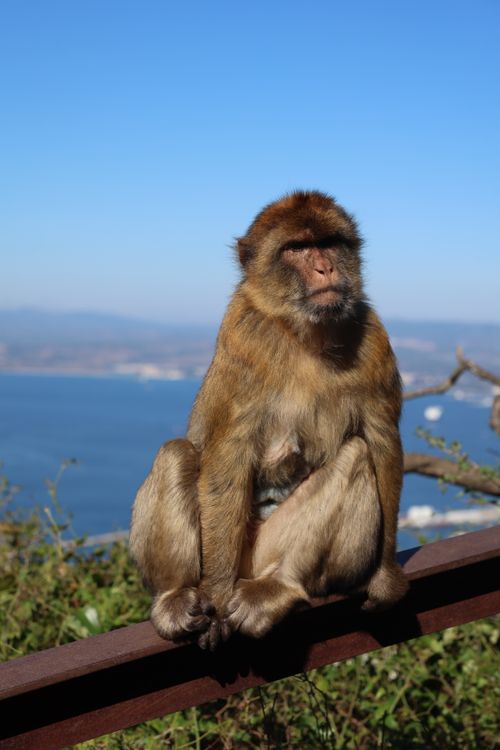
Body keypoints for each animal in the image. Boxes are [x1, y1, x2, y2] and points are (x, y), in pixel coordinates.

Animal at [130, 190, 409, 650]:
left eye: (329, 243)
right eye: (296, 248)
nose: (325, 267)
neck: (305, 332)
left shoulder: (374, 339)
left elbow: (383, 443)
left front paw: (385, 579)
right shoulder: (243, 335)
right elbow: (227, 461)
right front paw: (216, 598)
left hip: (265, 553)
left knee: (355, 456)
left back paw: (282, 587)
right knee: (176, 453)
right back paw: (176, 596)